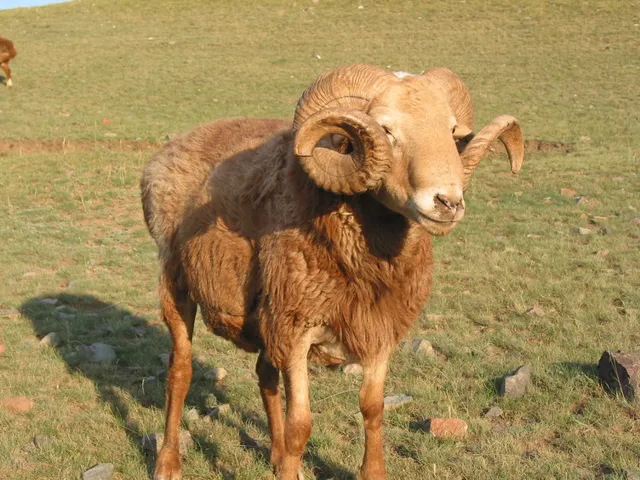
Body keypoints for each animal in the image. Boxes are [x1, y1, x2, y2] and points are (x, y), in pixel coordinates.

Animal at [141, 64, 524, 480]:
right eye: (385, 128)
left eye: (452, 131)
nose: (448, 202)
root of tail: (181, 142)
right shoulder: (296, 329)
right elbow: (301, 425)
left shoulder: (378, 328)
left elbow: (372, 408)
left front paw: (370, 471)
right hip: (177, 283)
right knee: (180, 372)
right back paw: (168, 463)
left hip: (267, 313)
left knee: (265, 375)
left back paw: (274, 454)